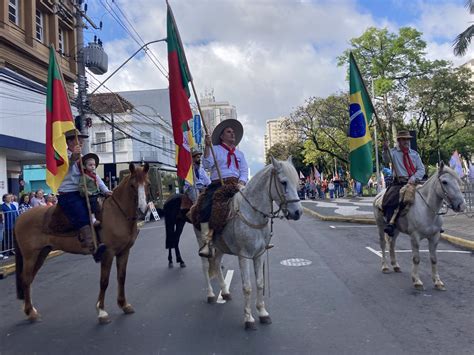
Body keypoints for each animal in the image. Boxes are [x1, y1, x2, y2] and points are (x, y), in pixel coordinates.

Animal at [14, 163, 148, 324]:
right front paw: (101, 311)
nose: (143, 209)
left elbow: (121, 278)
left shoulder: (124, 251)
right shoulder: (108, 253)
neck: (118, 213)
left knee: (28, 280)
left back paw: (30, 310)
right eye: (133, 185)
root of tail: (20, 217)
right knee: (26, 279)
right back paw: (31, 313)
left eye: (147, 184)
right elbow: (104, 281)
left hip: (41, 254)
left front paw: (124, 305)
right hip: (30, 256)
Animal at [193, 158, 302, 330]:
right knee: (205, 267)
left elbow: (259, 284)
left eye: (297, 182)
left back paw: (225, 292)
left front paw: (263, 313)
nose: (298, 212)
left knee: (216, 264)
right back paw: (211, 294)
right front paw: (249, 318)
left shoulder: (259, 255)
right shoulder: (243, 256)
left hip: (220, 247)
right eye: (283, 182)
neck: (253, 214)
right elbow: (247, 287)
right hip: (202, 243)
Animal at [374, 164, 466, 292]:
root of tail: (379, 195)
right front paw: (417, 281)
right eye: (444, 182)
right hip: (380, 225)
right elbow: (416, 259)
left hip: (396, 229)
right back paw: (385, 266)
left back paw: (395, 265)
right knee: (383, 244)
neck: (427, 210)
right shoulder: (415, 237)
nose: (461, 205)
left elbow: (434, 259)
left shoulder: (434, 237)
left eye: (458, 181)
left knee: (392, 243)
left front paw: (438, 282)